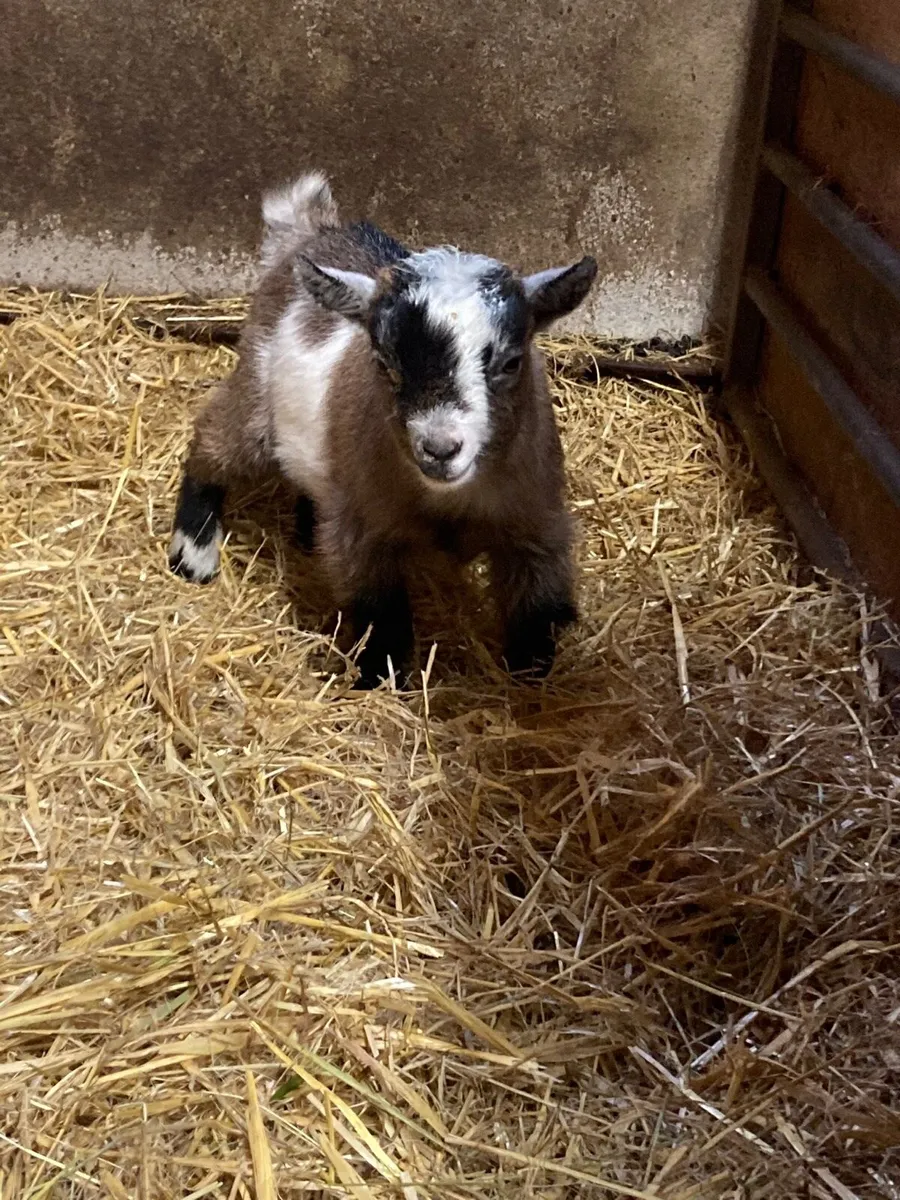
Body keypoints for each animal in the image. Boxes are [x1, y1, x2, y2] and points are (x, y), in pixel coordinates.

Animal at [168, 171, 597, 689]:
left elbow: (537, 607)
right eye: (383, 361)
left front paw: (533, 678)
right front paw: (377, 679)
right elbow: (380, 615)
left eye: (511, 362)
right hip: (255, 394)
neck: (447, 502)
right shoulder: (363, 532)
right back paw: (194, 552)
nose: (440, 448)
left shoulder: (537, 523)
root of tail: (312, 232)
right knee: (212, 439)